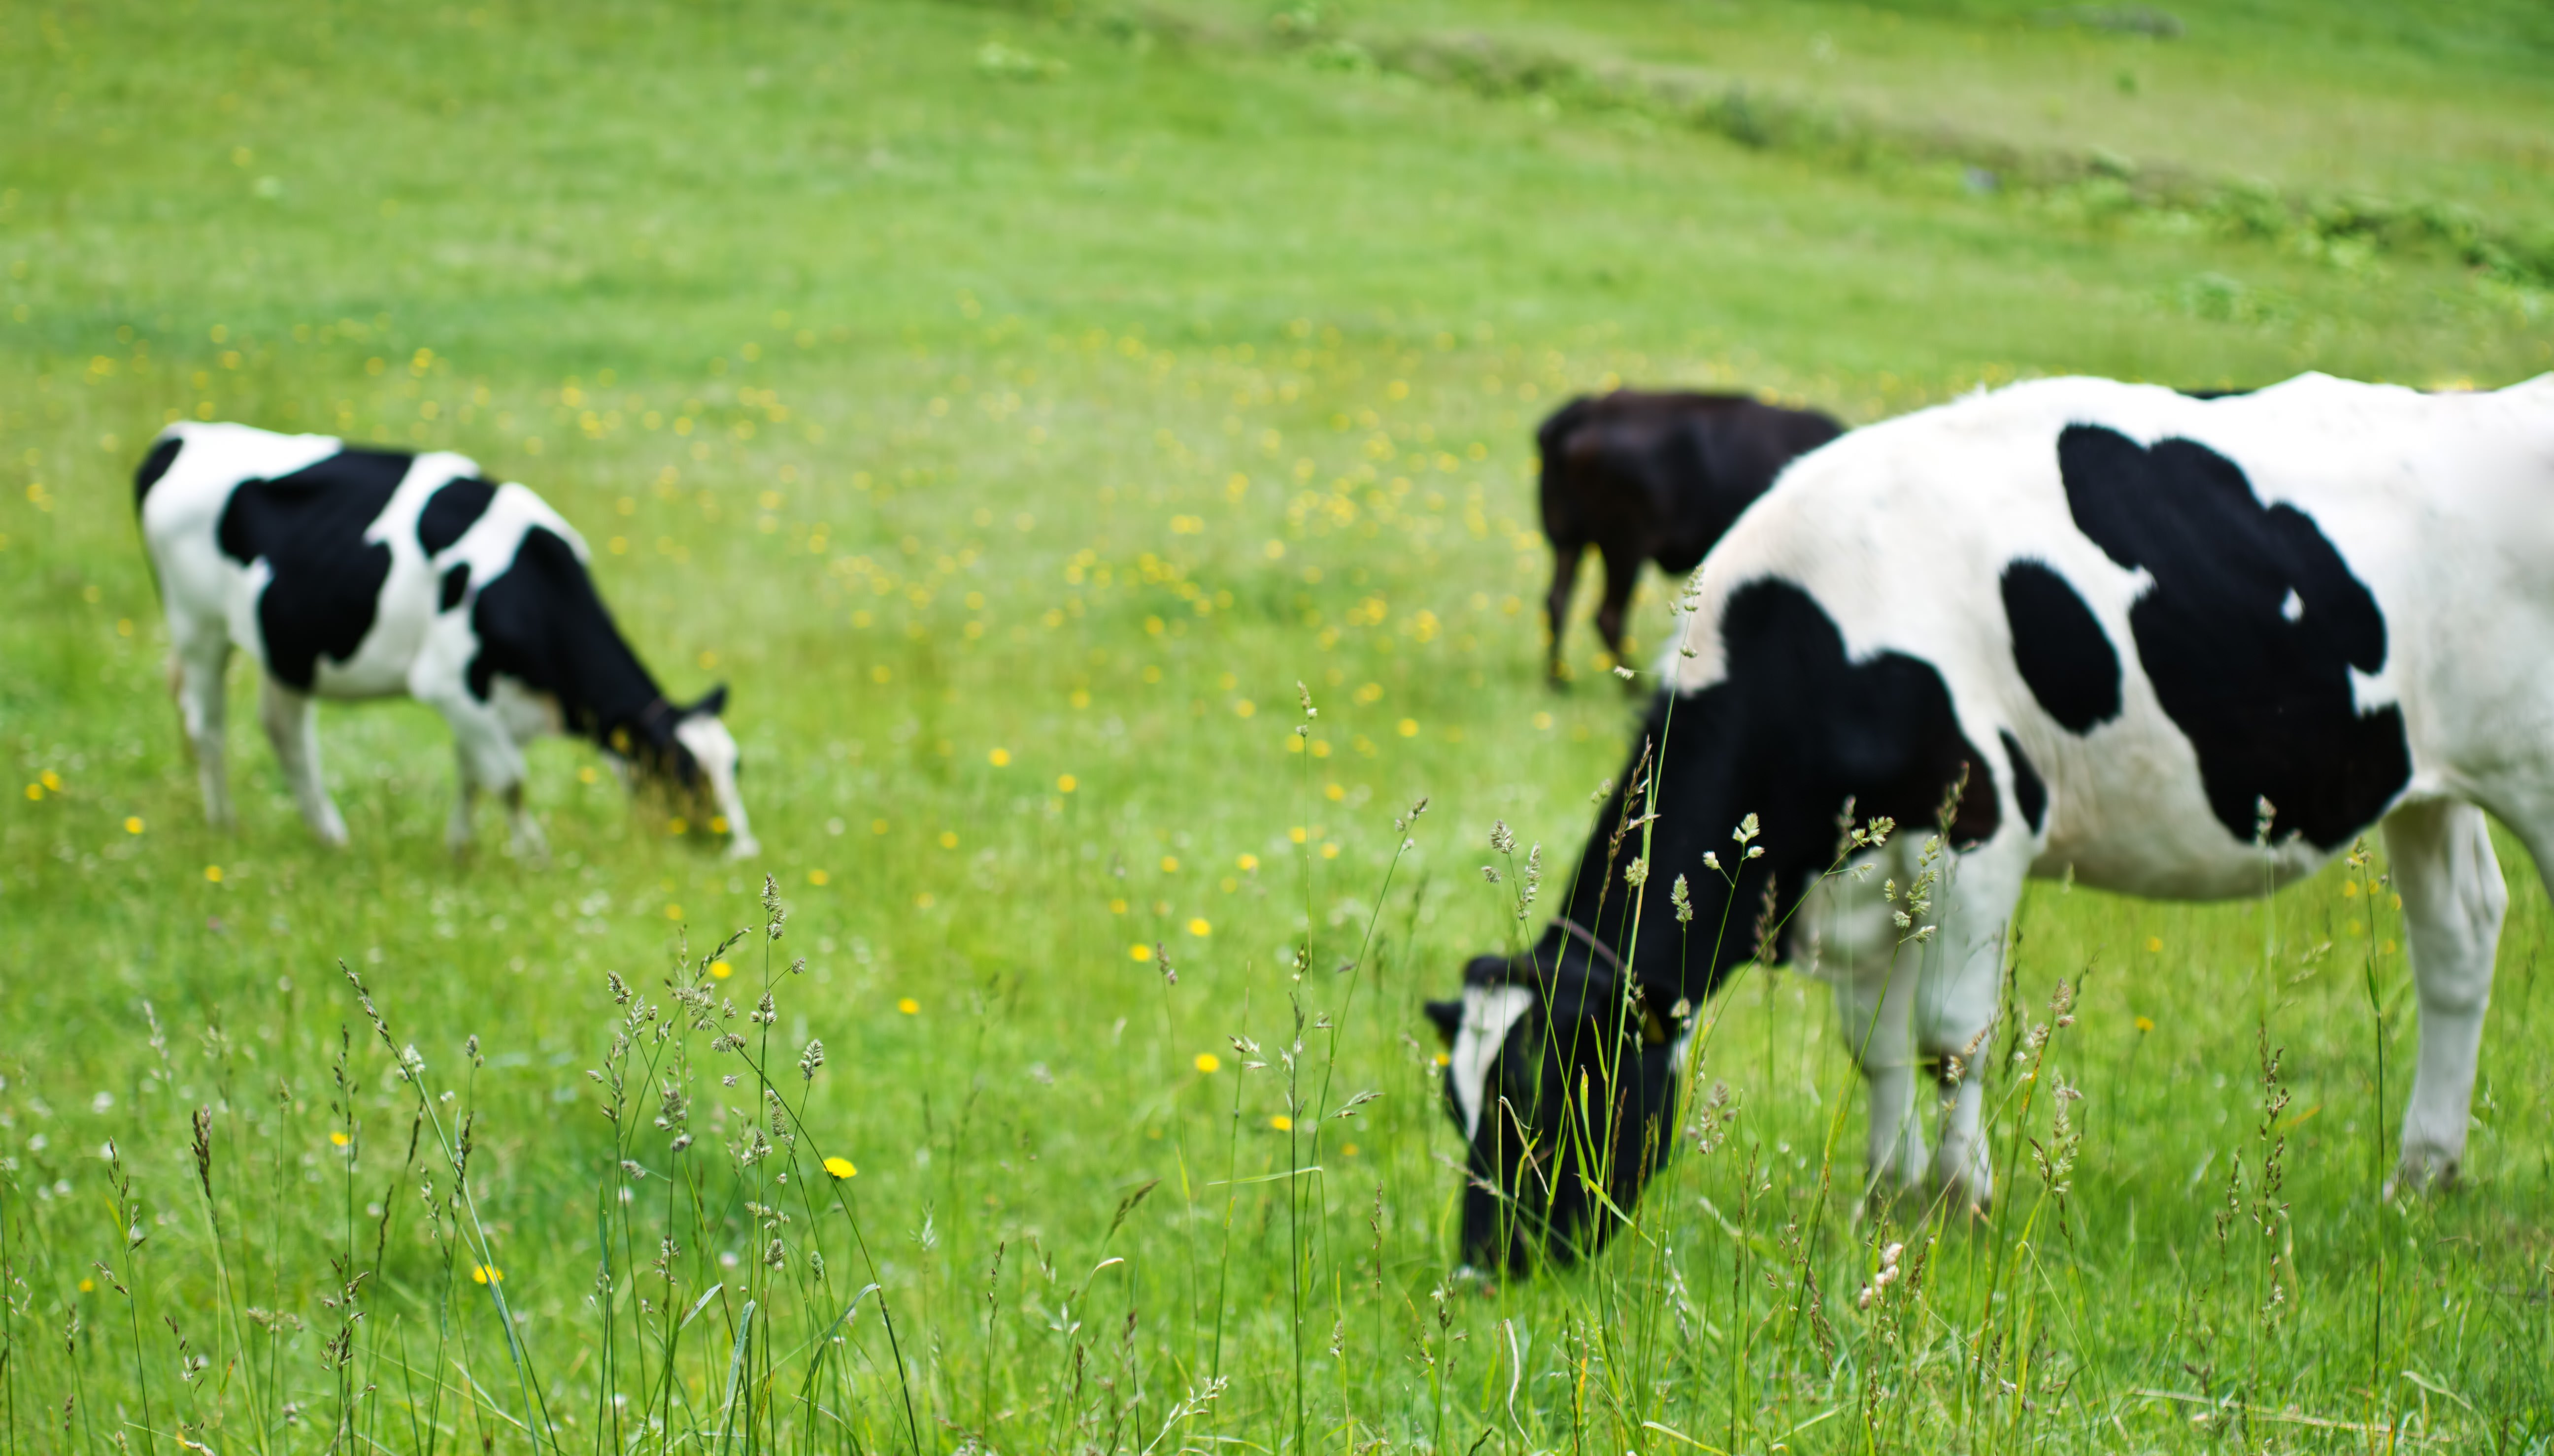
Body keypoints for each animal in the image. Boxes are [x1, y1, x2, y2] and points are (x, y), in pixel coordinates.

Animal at [137, 419, 756, 858]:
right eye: (686, 773)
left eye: (736, 767)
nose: (741, 847)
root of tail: (183, 436)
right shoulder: (449, 683)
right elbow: (508, 778)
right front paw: (535, 857)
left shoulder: (484, 699)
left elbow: (475, 775)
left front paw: (460, 848)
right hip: (198, 626)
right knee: (209, 729)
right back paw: (225, 824)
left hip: (287, 646)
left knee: (286, 733)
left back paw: (329, 836)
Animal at [1522, 391, 1849, 684]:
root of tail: (1582, 412)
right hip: (1623, 548)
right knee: (1608, 616)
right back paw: (1635, 689)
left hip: (1568, 540)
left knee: (1557, 601)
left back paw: (1558, 681)